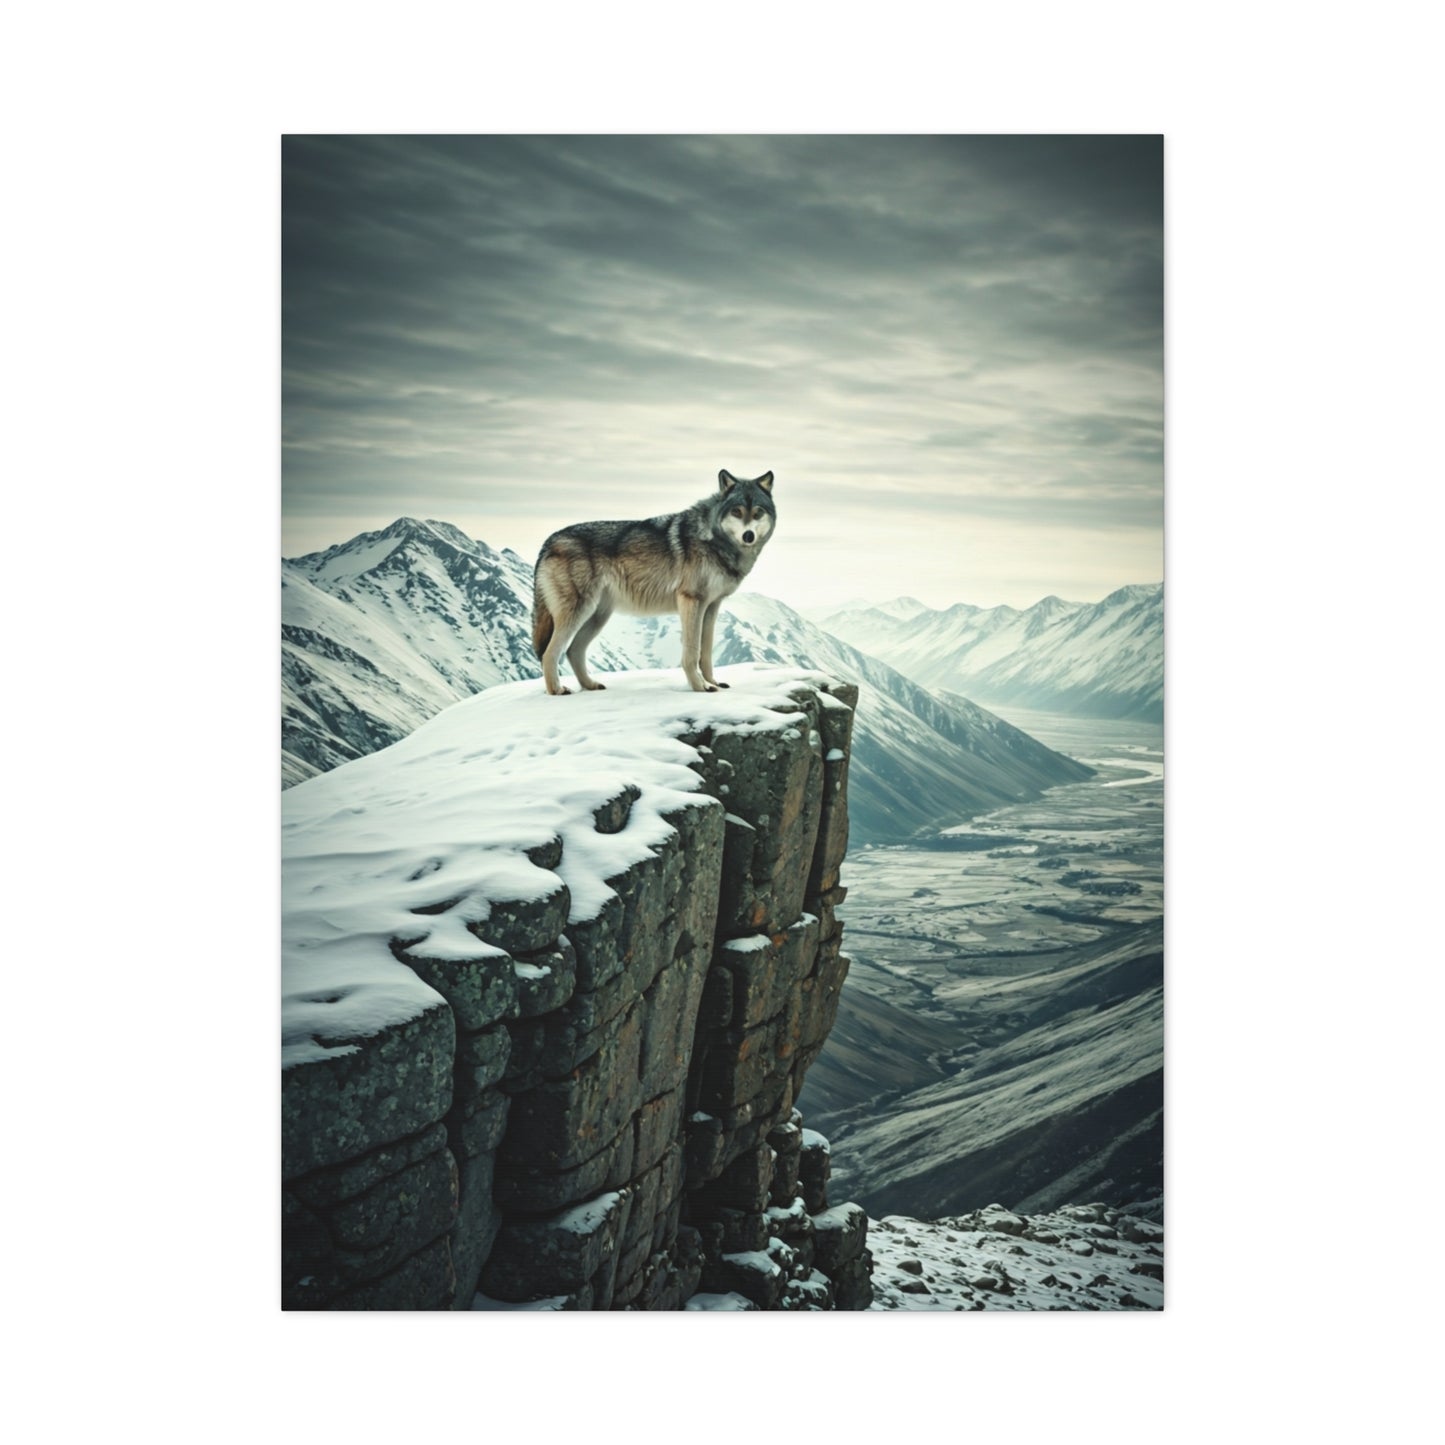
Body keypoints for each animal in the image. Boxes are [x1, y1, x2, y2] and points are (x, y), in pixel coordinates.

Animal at [532, 469, 777, 695]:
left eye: (757, 512)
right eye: (737, 511)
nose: (748, 536)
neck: (714, 539)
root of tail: (548, 541)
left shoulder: (711, 607)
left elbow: (705, 653)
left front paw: (713, 682)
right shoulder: (691, 600)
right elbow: (692, 652)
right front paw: (701, 687)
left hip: (597, 616)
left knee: (573, 651)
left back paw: (590, 685)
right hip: (578, 612)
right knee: (549, 653)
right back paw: (557, 690)